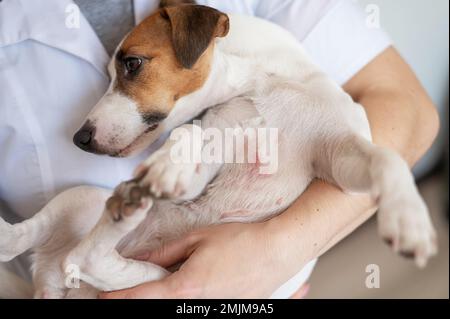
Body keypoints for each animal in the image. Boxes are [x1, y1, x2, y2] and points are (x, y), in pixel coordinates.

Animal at [0, 2, 436, 300]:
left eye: (132, 63)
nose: (80, 138)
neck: (263, 80)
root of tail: (58, 285)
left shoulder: (339, 154)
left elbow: (387, 159)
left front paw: (407, 217)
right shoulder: (217, 135)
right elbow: (190, 136)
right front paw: (172, 161)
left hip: (153, 274)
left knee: (86, 259)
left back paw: (126, 208)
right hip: (83, 201)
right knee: (42, 246)